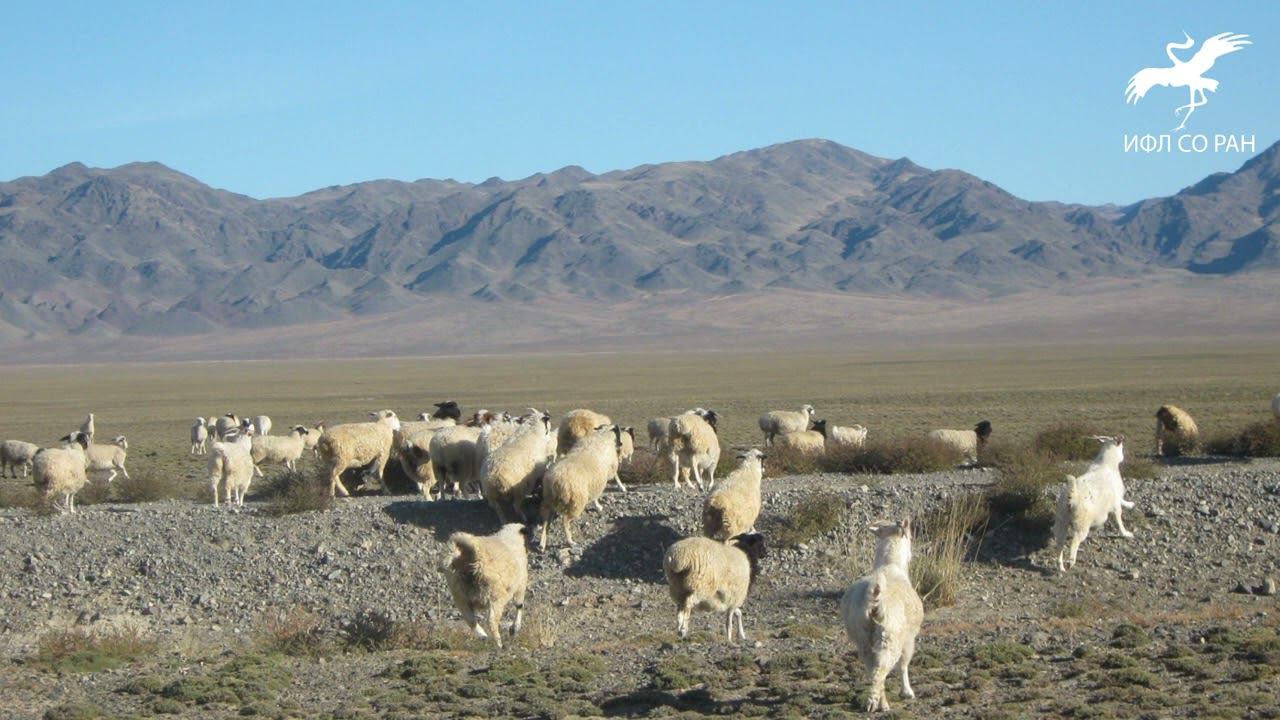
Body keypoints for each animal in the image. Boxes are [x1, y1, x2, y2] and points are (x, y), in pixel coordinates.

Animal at [442, 517, 527, 648]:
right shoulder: (520, 586)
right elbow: (519, 606)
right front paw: (514, 628)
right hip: (495, 596)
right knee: (491, 621)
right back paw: (499, 644)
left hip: (460, 597)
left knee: (470, 619)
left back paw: (483, 636)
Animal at [839, 517, 921, 707]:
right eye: (911, 537)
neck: (890, 565)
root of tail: (874, 591)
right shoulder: (908, 638)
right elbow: (903, 665)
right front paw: (907, 692)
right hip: (889, 635)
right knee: (881, 668)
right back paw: (878, 704)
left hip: (862, 635)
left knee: (872, 667)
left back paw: (879, 701)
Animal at [1054, 430, 1136, 571]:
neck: (1106, 464)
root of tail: (1072, 497)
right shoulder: (1115, 505)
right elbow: (1119, 519)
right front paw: (1126, 533)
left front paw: (1130, 504)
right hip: (1081, 525)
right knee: (1074, 542)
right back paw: (1071, 562)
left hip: (1062, 522)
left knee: (1059, 545)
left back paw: (1061, 567)